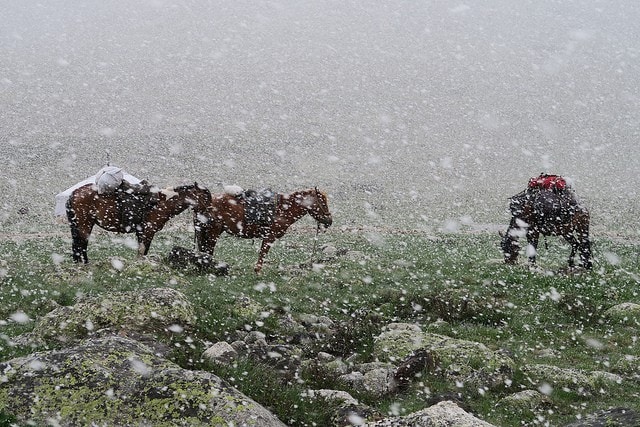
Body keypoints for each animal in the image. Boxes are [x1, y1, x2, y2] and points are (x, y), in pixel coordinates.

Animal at [65, 181, 210, 262]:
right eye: (206, 196)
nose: (208, 216)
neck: (163, 202)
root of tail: (74, 193)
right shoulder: (149, 231)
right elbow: (143, 251)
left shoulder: (142, 232)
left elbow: (142, 251)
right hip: (85, 224)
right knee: (81, 244)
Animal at [194, 188, 336, 274]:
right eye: (323, 203)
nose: (329, 220)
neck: (283, 209)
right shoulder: (270, 237)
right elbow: (263, 252)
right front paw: (257, 271)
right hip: (213, 232)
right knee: (207, 250)